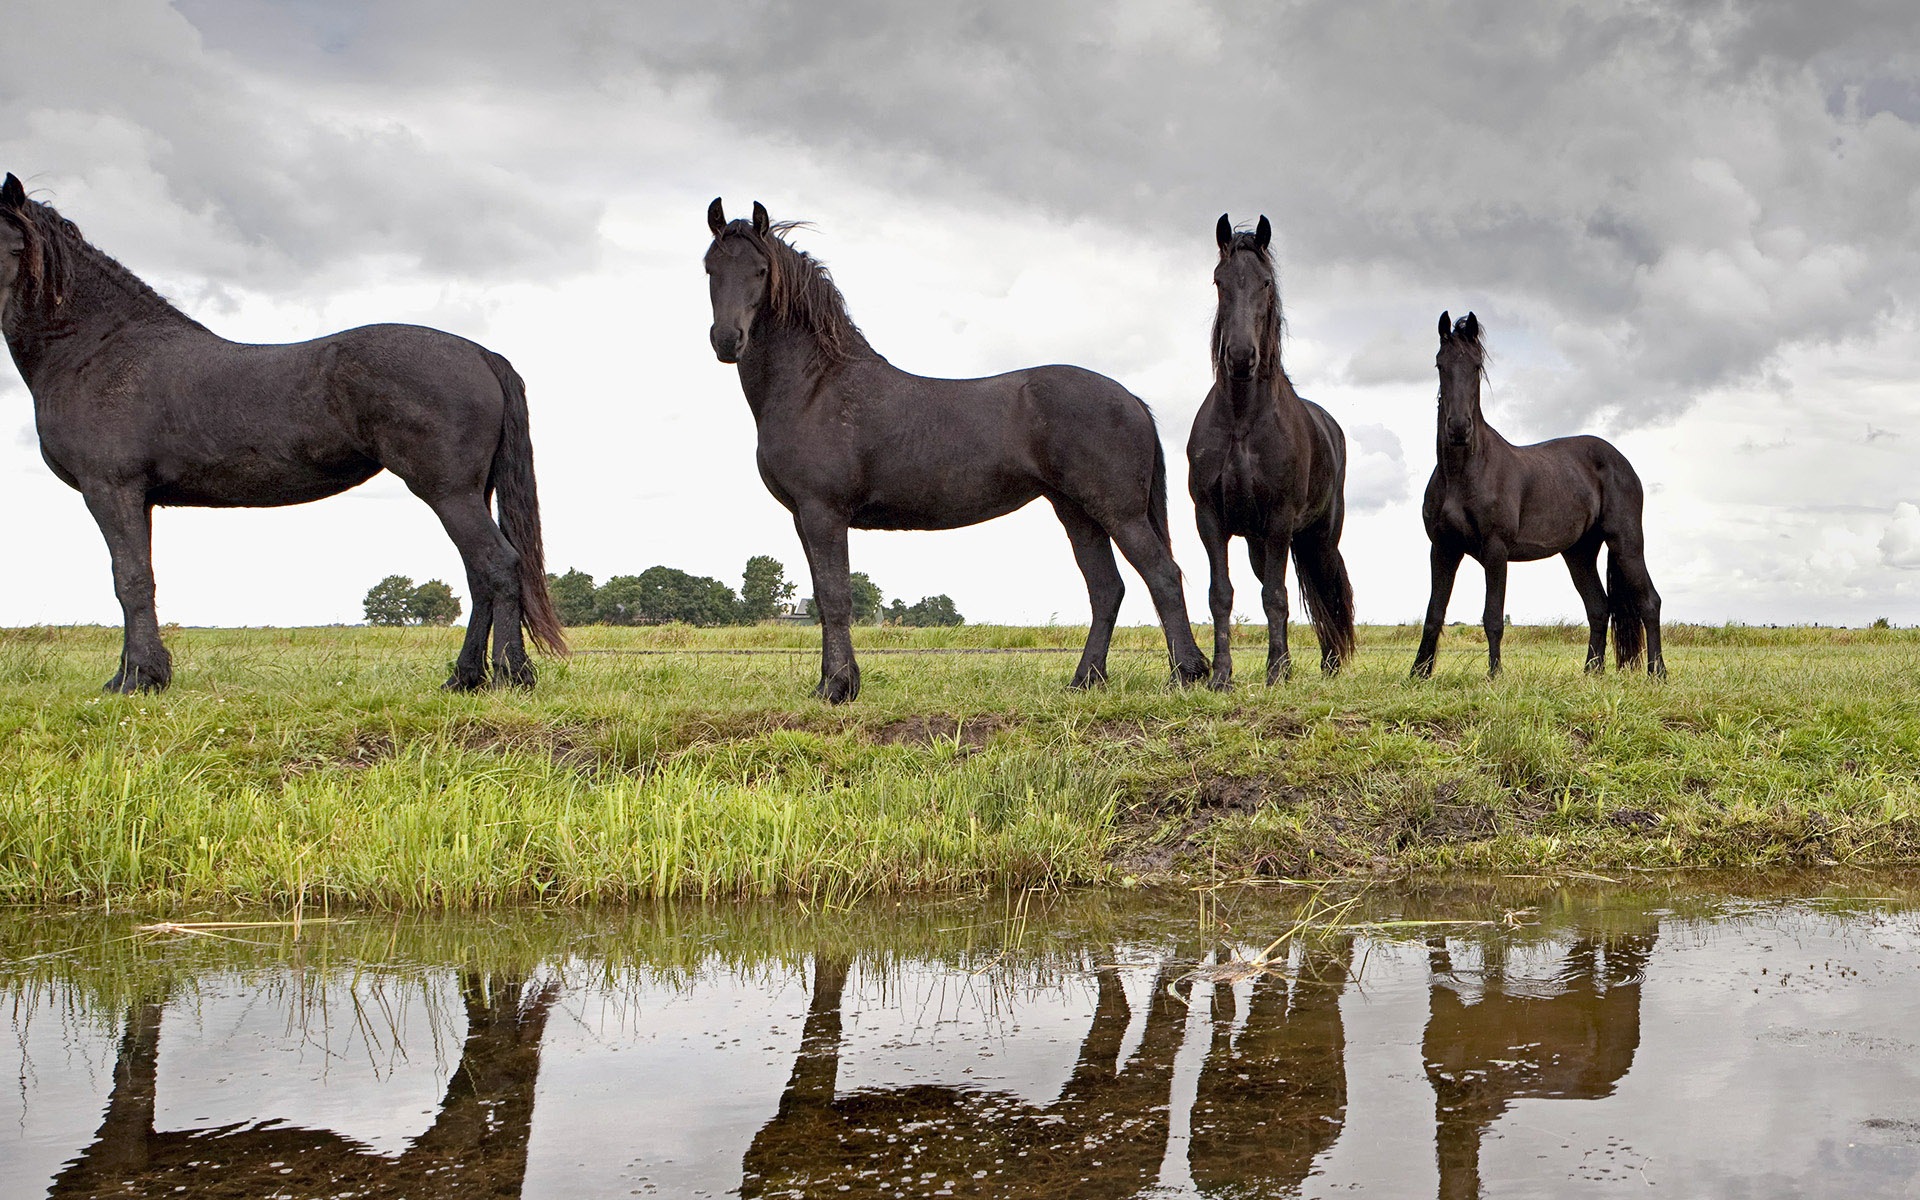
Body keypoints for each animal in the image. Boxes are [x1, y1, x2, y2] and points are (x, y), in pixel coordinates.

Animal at [0, 171, 564, 687]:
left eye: (9, 244)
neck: (97, 348)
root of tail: (479, 353)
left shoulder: (110, 489)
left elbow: (131, 580)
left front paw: (137, 679)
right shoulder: (137, 497)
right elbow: (137, 578)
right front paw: (135, 674)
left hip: (449, 491)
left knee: (498, 566)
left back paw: (510, 675)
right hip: (471, 492)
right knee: (479, 575)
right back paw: (463, 678)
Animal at [698, 198, 1205, 702]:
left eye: (761, 269)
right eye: (710, 267)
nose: (727, 340)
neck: (816, 386)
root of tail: (1132, 400)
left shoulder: (823, 511)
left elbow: (837, 596)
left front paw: (839, 687)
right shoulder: (803, 516)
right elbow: (823, 599)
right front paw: (830, 683)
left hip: (1118, 512)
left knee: (1162, 575)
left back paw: (1188, 674)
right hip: (1077, 512)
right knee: (1106, 590)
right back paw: (1085, 680)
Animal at [1182, 213, 1351, 683]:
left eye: (1266, 282)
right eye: (1219, 280)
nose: (1241, 357)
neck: (1242, 421)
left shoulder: (1279, 520)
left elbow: (1277, 596)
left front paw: (1275, 673)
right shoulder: (1210, 520)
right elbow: (1222, 595)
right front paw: (1222, 675)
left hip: (1318, 537)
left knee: (1326, 592)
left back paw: (1331, 664)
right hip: (1259, 542)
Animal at [1413, 312, 1666, 679]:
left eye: (1476, 365)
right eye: (1439, 364)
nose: (1459, 428)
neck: (1464, 474)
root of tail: (1621, 462)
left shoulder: (1495, 550)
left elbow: (1493, 617)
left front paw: (1495, 676)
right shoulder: (1443, 549)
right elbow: (1434, 614)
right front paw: (1417, 674)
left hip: (1626, 542)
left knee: (1649, 601)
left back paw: (1656, 673)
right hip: (1579, 552)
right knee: (1598, 607)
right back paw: (1591, 673)